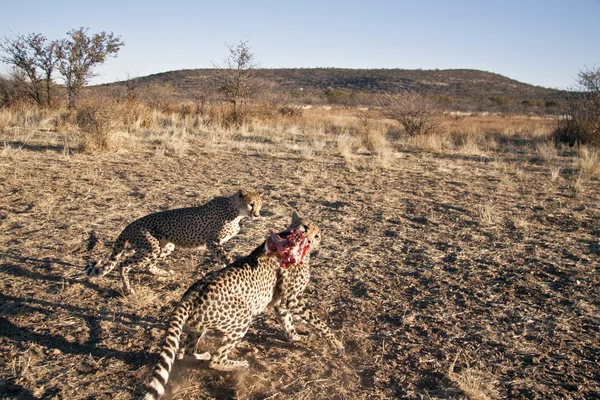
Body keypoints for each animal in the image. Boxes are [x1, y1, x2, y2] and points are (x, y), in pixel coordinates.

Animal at [85, 188, 262, 294]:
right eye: (251, 204)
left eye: (260, 205)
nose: (257, 214)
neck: (236, 211)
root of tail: (128, 225)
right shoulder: (213, 242)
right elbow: (227, 258)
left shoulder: (215, 244)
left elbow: (222, 260)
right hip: (151, 248)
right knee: (123, 264)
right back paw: (128, 289)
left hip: (166, 247)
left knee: (148, 265)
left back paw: (162, 273)